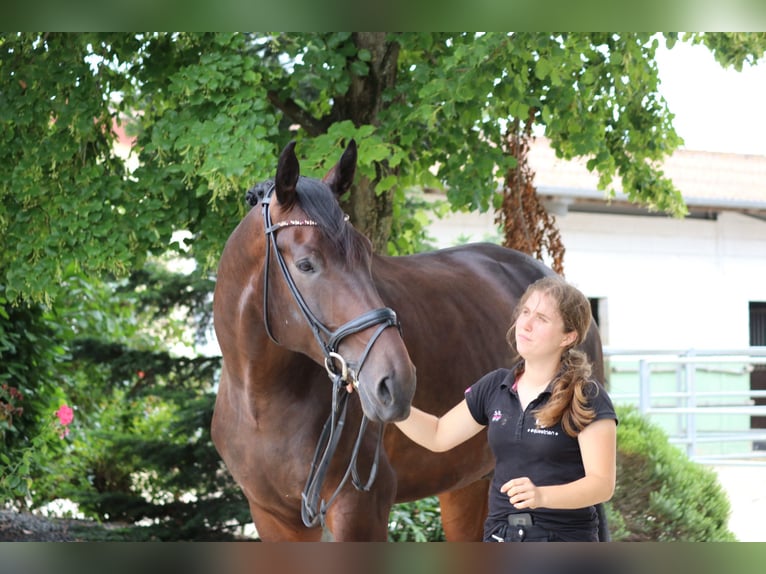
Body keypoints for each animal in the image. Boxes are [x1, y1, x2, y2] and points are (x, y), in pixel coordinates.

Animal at [212, 140, 608, 544]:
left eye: (366, 254)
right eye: (306, 264)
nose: (395, 382)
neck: (261, 397)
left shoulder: (360, 509)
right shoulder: (274, 518)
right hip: (470, 484)